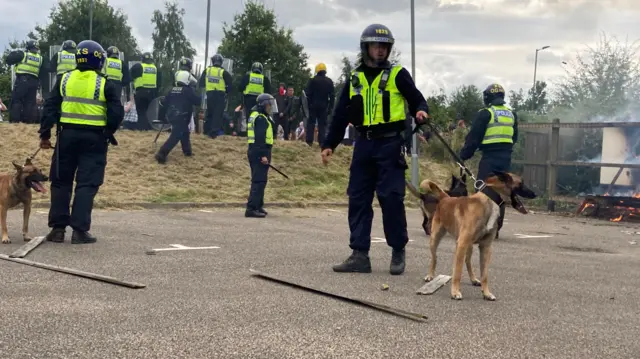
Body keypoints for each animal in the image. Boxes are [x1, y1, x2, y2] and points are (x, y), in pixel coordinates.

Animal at [420, 173, 536, 302]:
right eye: (521, 183)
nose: (535, 194)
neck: (489, 202)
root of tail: (446, 198)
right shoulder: (462, 244)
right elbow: (457, 272)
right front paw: (455, 292)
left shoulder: (485, 248)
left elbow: (484, 275)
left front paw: (486, 293)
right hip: (436, 239)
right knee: (434, 258)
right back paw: (430, 275)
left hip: (468, 247)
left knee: (467, 261)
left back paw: (474, 279)